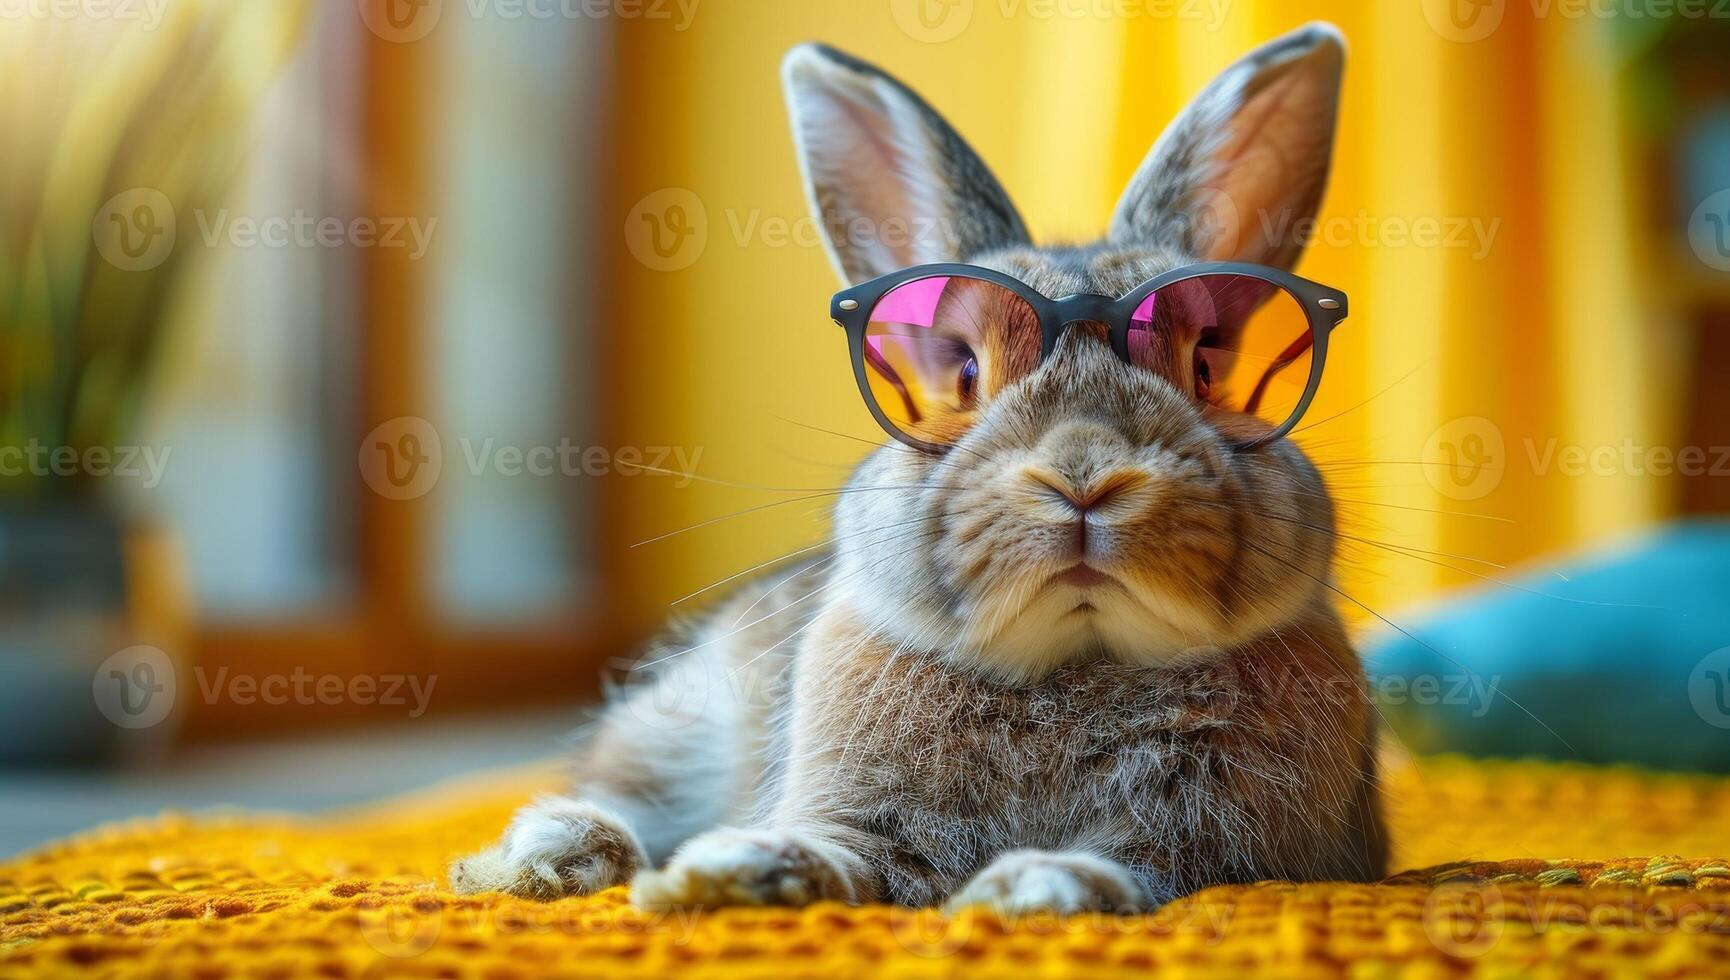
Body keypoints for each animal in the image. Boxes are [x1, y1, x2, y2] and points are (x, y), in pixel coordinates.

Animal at [449, 19, 1390, 921]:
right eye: (963, 374)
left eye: (1206, 370)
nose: (1083, 476)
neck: (1075, 663)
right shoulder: (863, 819)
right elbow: (842, 853)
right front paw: (734, 869)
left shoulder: (1226, 849)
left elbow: (1146, 867)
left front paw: (1038, 885)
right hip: (678, 724)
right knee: (623, 794)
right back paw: (553, 851)